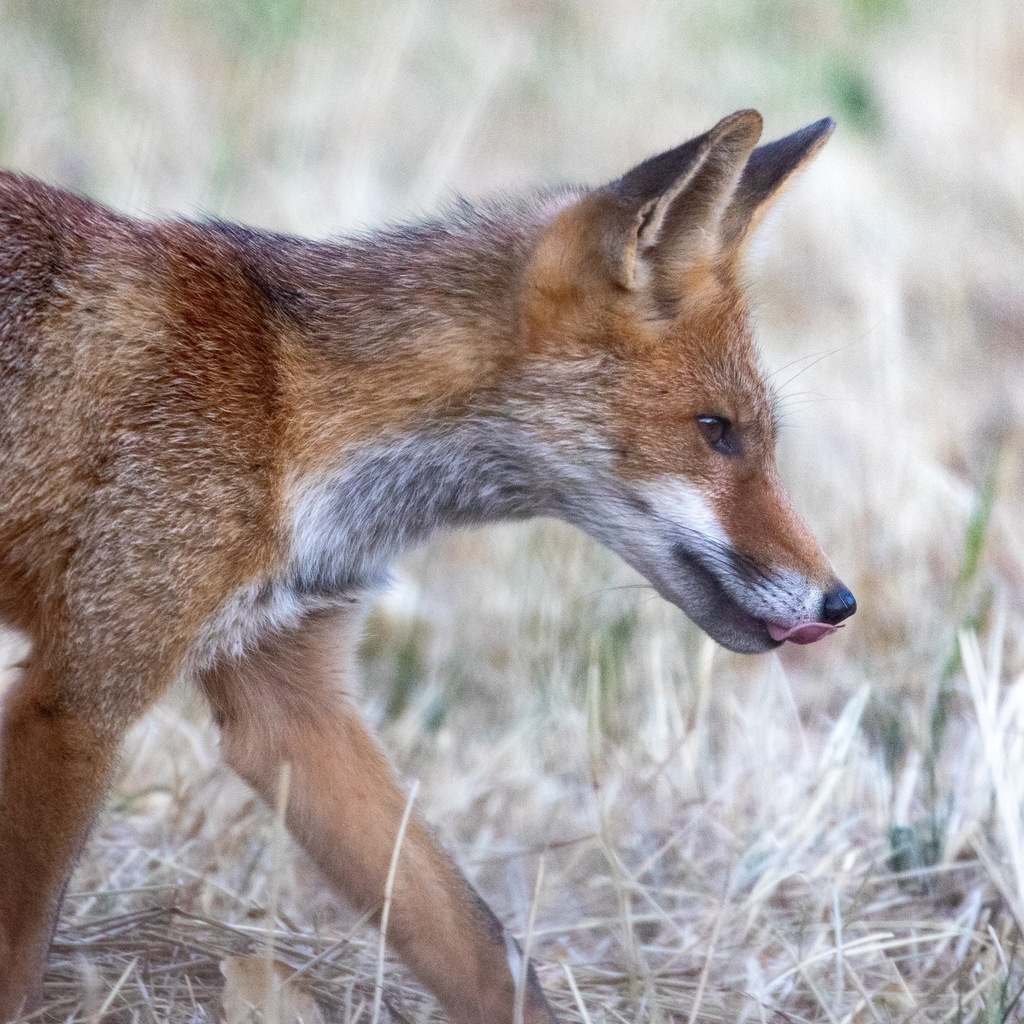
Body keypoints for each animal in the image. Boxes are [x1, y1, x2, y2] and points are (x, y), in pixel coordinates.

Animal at [0, 108, 855, 1022]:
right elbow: (19, 958)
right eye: (716, 430)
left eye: (758, 437)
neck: (294, 412)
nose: (839, 603)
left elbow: (481, 951)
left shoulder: (293, 703)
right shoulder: (82, 694)